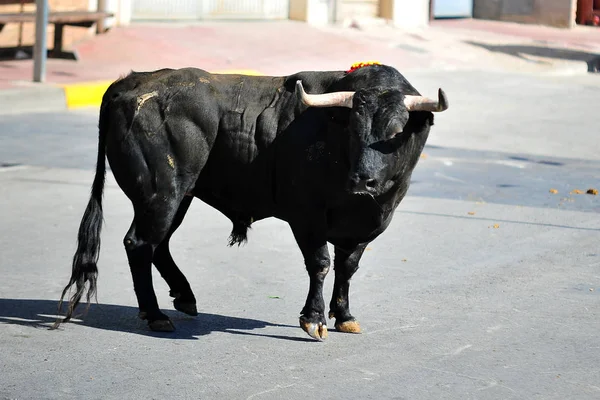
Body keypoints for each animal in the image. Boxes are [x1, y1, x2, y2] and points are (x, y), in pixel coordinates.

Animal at [51, 64, 448, 340]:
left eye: (396, 131)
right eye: (352, 128)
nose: (361, 182)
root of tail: (128, 84)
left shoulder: (369, 224)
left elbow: (348, 267)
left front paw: (345, 317)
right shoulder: (306, 217)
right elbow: (320, 264)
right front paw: (314, 319)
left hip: (179, 196)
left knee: (156, 243)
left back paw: (183, 296)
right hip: (161, 192)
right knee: (139, 243)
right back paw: (155, 315)